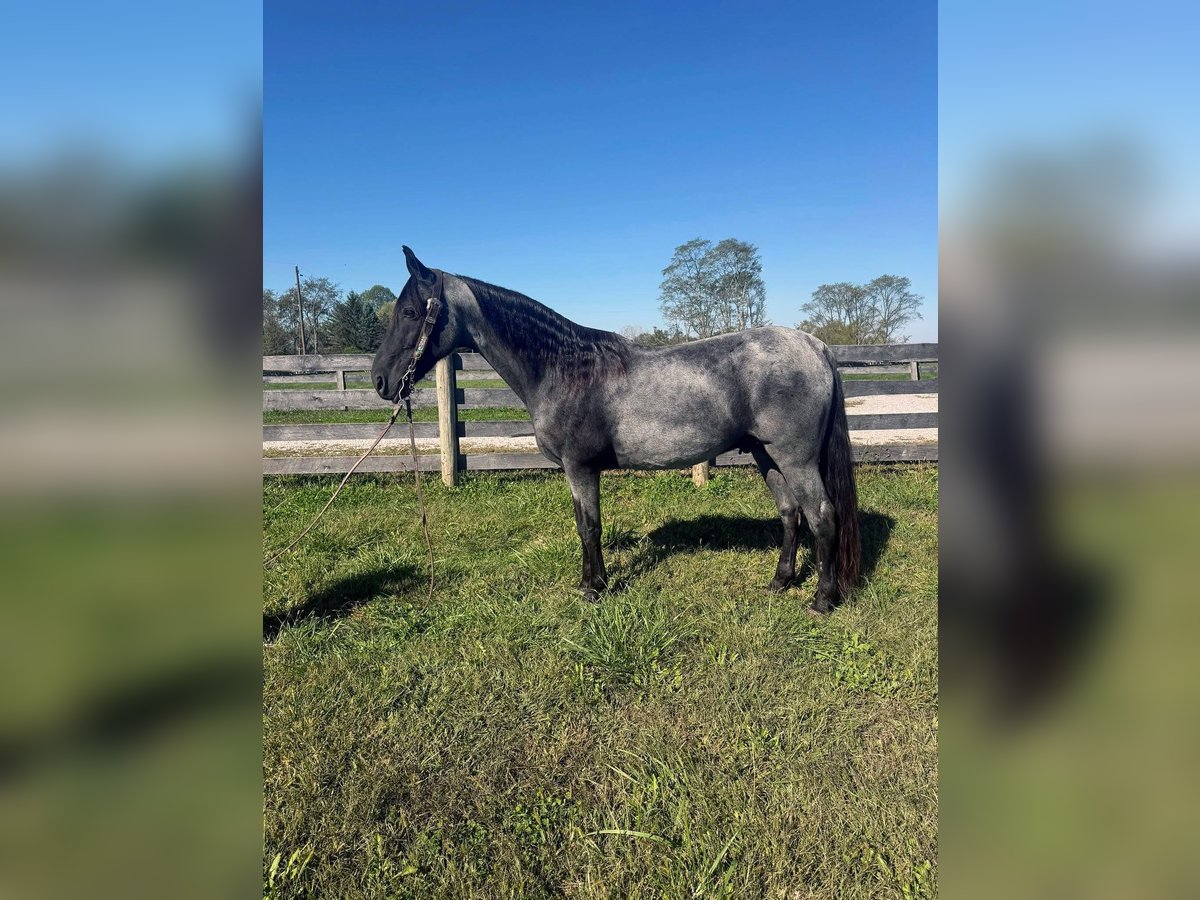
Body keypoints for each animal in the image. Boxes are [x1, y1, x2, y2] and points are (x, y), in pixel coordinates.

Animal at [372, 247, 860, 614]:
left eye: (411, 311)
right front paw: (594, 582)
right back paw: (780, 582)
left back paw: (821, 600)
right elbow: (585, 525)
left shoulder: (580, 467)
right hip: (765, 454)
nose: (380, 381)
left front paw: (593, 588)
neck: (565, 369)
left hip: (795, 458)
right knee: (791, 514)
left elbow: (589, 527)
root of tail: (815, 345)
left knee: (822, 515)